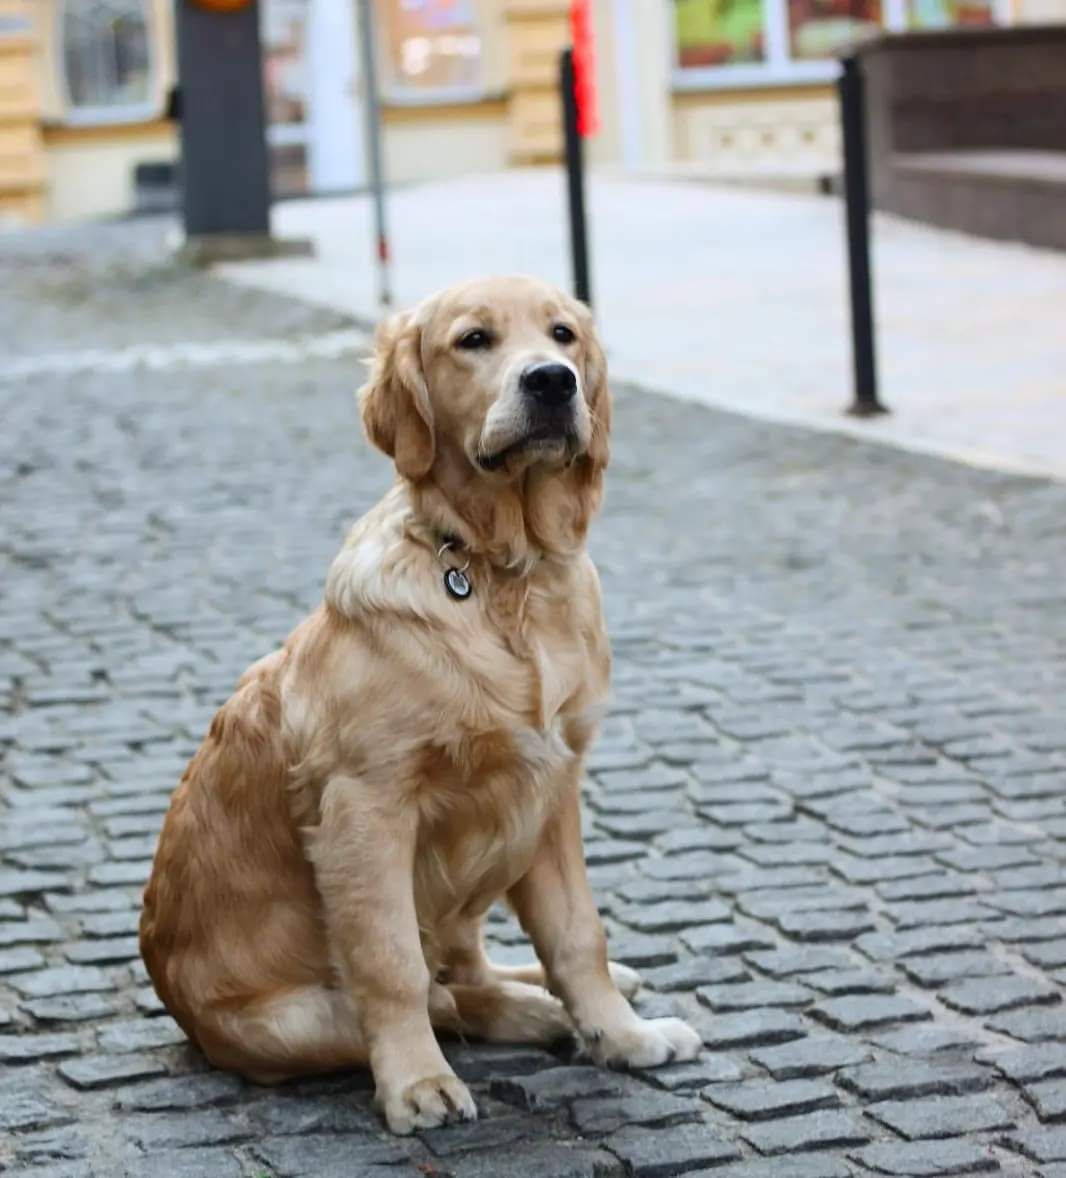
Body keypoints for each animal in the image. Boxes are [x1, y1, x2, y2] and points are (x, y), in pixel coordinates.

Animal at [143, 273, 706, 1130]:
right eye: (473, 340)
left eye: (564, 335)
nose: (552, 382)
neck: (502, 574)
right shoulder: (366, 807)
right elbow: (392, 965)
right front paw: (417, 1084)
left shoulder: (552, 788)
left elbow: (578, 935)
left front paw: (622, 1035)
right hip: (285, 1023)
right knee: (442, 993)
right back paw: (529, 1016)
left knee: (468, 970)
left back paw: (559, 1001)